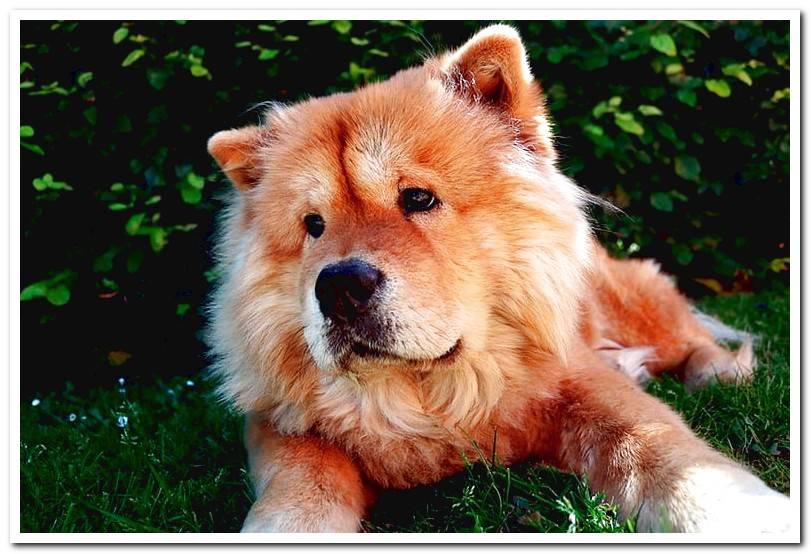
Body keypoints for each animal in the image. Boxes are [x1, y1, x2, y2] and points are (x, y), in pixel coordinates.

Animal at [205, 25, 792, 532]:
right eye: (314, 226)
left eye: (418, 199)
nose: (339, 285)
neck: (432, 395)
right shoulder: (278, 423)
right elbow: (301, 481)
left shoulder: (584, 383)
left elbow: (661, 448)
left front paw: (749, 515)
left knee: (690, 338)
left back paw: (717, 372)